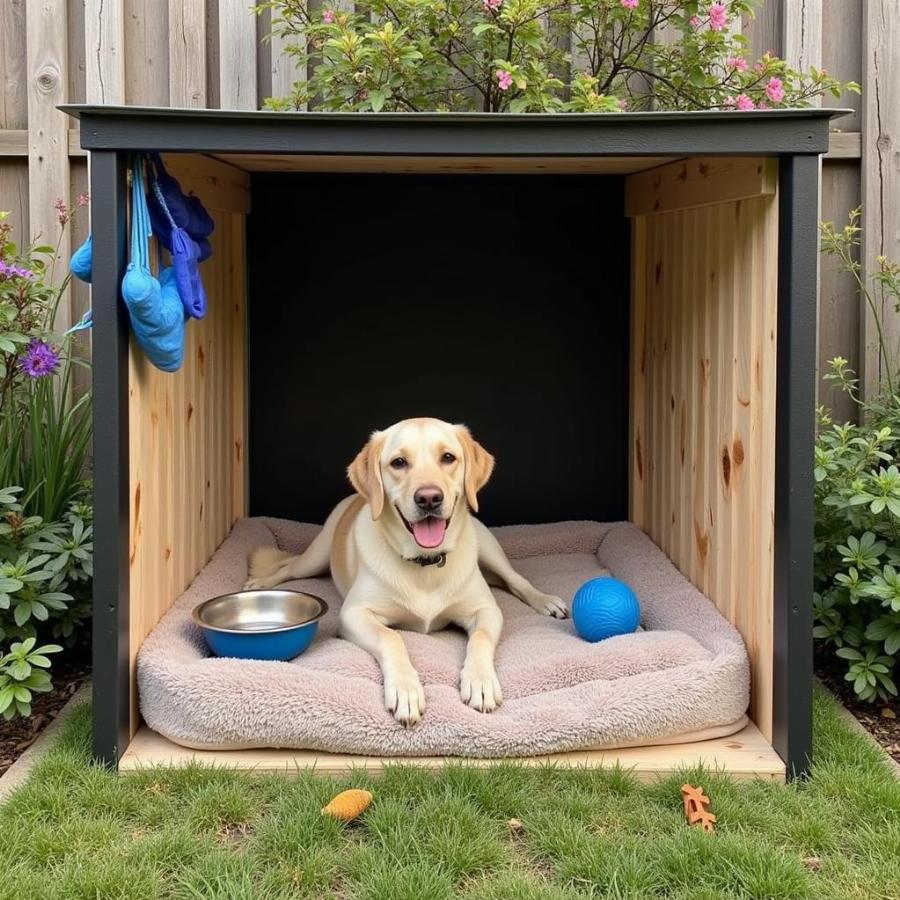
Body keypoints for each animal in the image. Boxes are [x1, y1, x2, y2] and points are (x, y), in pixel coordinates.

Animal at [244, 418, 568, 728]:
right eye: (399, 462)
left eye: (448, 457)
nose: (429, 498)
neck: (425, 564)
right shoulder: (353, 614)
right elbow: (391, 638)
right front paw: (406, 689)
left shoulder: (486, 610)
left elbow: (480, 638)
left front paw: (480, 681)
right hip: (317, 555)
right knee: (289, 566)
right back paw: (260, 582)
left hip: (488, 546)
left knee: (516, 580)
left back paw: (547, 601)